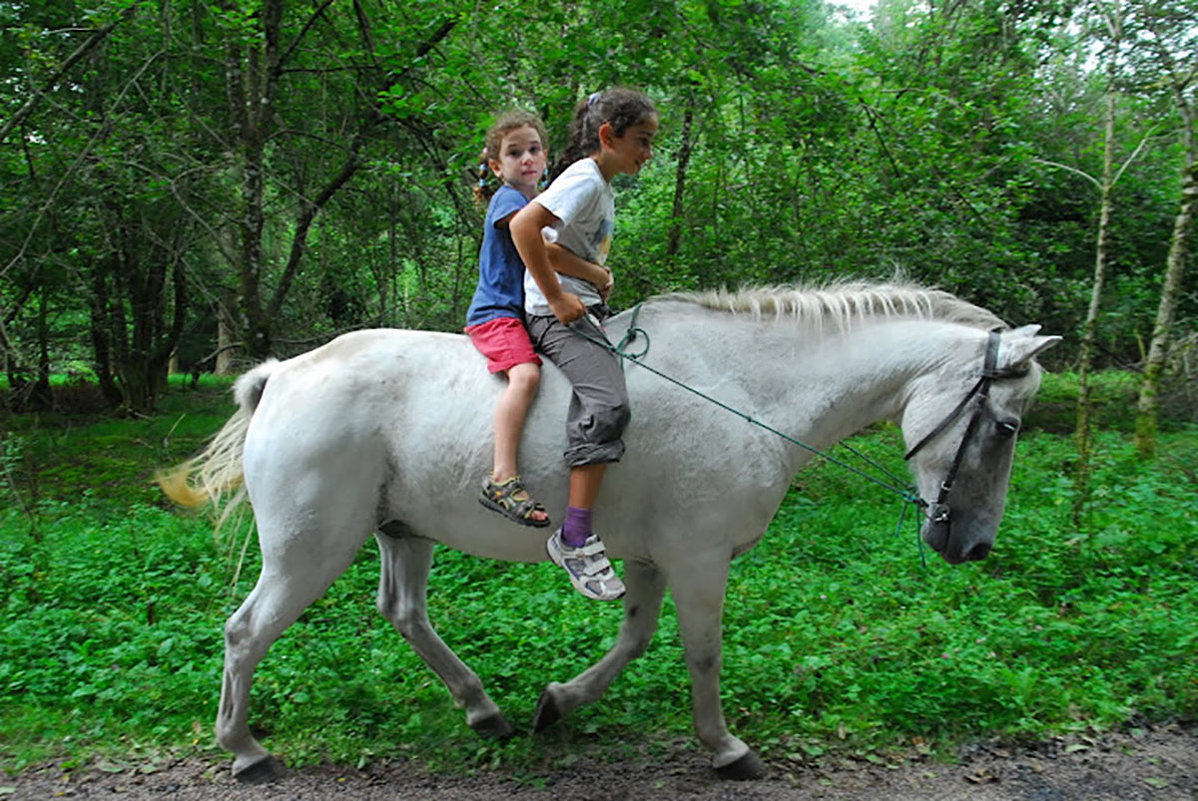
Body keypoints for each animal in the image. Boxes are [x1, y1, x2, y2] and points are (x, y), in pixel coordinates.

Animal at [159, 282, 1059, 780]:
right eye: (1008, 426)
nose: (972, 545)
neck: (749, 388)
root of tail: (283, 375)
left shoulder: (652, 558)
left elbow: (634, 639)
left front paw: (557, 701)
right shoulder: (699, 558)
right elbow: (701, 651)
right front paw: (725, 747)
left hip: (401, 531)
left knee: (405, 613)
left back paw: (483, 709)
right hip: (309, 551)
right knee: (245, 632)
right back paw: (245, 749)